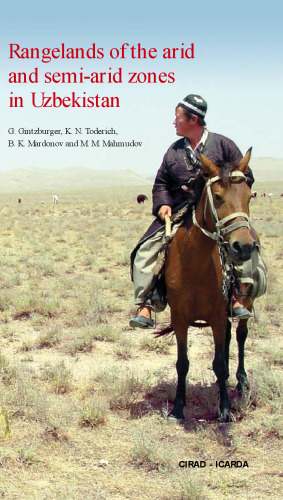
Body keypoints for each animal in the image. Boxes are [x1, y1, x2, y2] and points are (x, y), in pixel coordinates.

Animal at [165, 148, 256, 422]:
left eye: (249, 196)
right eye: (217, 197)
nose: (243, 246)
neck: (193, 264)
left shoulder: (217, 316)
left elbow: (220, 364)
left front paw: (224, 408)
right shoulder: (179, 318)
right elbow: (182, 363)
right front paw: (177, 408)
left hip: (244, 304)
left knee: (240, 336)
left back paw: (241, 382)